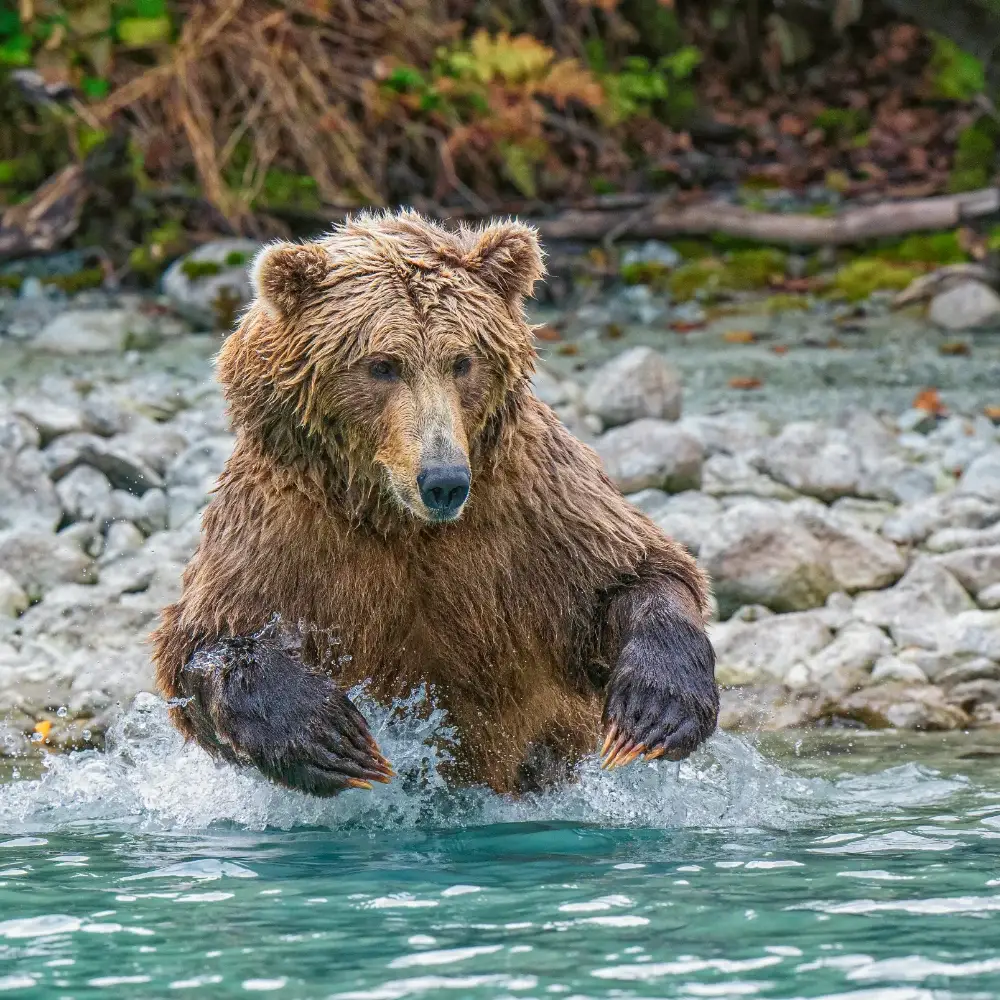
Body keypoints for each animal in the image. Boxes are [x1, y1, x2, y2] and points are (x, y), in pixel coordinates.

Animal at [151, 210, 718, 797]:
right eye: (382, 365)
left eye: (462, 361)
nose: (443, 481)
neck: (399, 520)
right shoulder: (284, 526)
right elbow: (207, 641)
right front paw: (327, 735)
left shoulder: (533, 506)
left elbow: (634, 572)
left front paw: (653, 710)